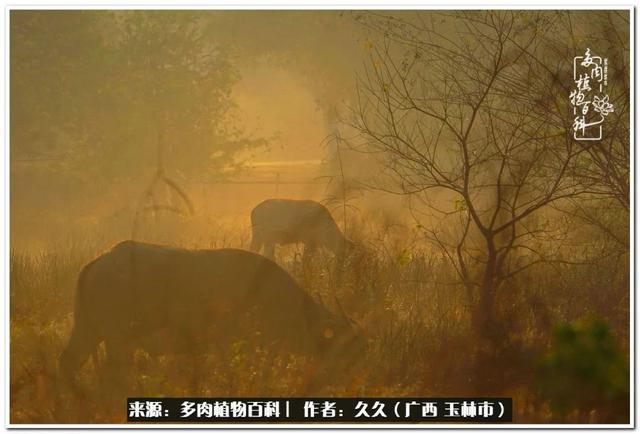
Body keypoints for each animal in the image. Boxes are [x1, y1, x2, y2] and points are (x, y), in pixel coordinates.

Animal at [59, 241, 362, 390]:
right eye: (344, 346)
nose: (351, 376)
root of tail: (98, 262)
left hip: (88, 330)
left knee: (68, 362)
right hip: (116, 339)